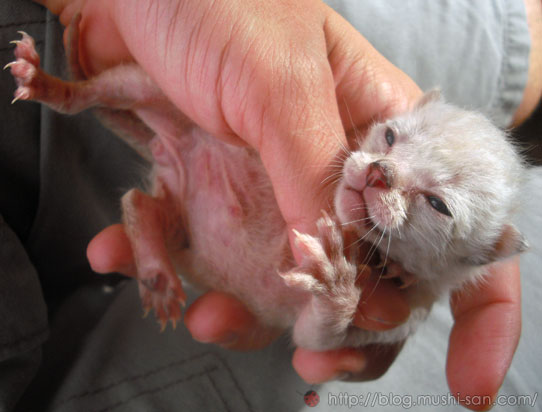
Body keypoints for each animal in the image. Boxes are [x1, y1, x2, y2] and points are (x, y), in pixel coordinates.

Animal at [6, 27, 528, 350]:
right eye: (390, 136)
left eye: (438, 204)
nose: (380, 172)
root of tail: (169, 154)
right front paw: (340, 278)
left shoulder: (395, 321)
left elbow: (313, 339)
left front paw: (337, 288)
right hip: (162, 92)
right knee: (103, 94)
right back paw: (50, 84)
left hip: (179, 224)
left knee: (139, 204)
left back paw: (156, 271)